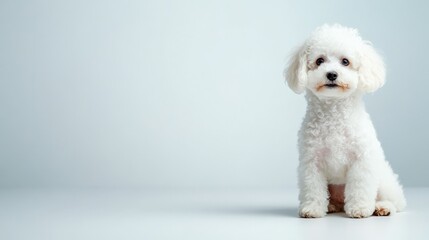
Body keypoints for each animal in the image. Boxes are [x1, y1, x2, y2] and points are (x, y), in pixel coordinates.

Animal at [286, 23, 402, 218]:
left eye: (345, 61)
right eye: (319, 61)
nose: (332, 74)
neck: (334, 112)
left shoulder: (361, 160)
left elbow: (360, 187)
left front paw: (360, 208)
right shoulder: (311, 161)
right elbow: (313, 187)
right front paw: (313, 208)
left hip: (384, 179)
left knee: (397, 202)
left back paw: (381, 207)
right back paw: (332, 206)